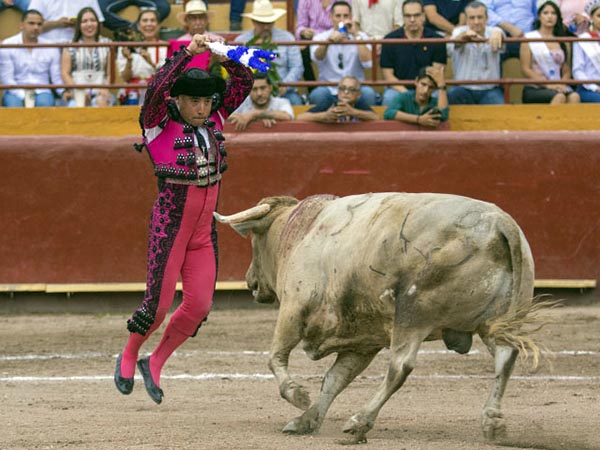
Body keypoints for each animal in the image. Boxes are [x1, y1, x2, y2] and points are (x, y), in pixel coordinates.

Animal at [214, 192, 548, 442]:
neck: (300, 233)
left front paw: (298, 397)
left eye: (255, 241)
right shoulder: (362, 343)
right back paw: (493, 422)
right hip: (498, 322)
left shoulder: (293, 311)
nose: (250, 282)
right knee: (505, 358)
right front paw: (306, 420)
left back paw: (360, 421)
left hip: (412, 314)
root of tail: (500, 224)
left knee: (400, 366)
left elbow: (276, 358)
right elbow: (334, 379)